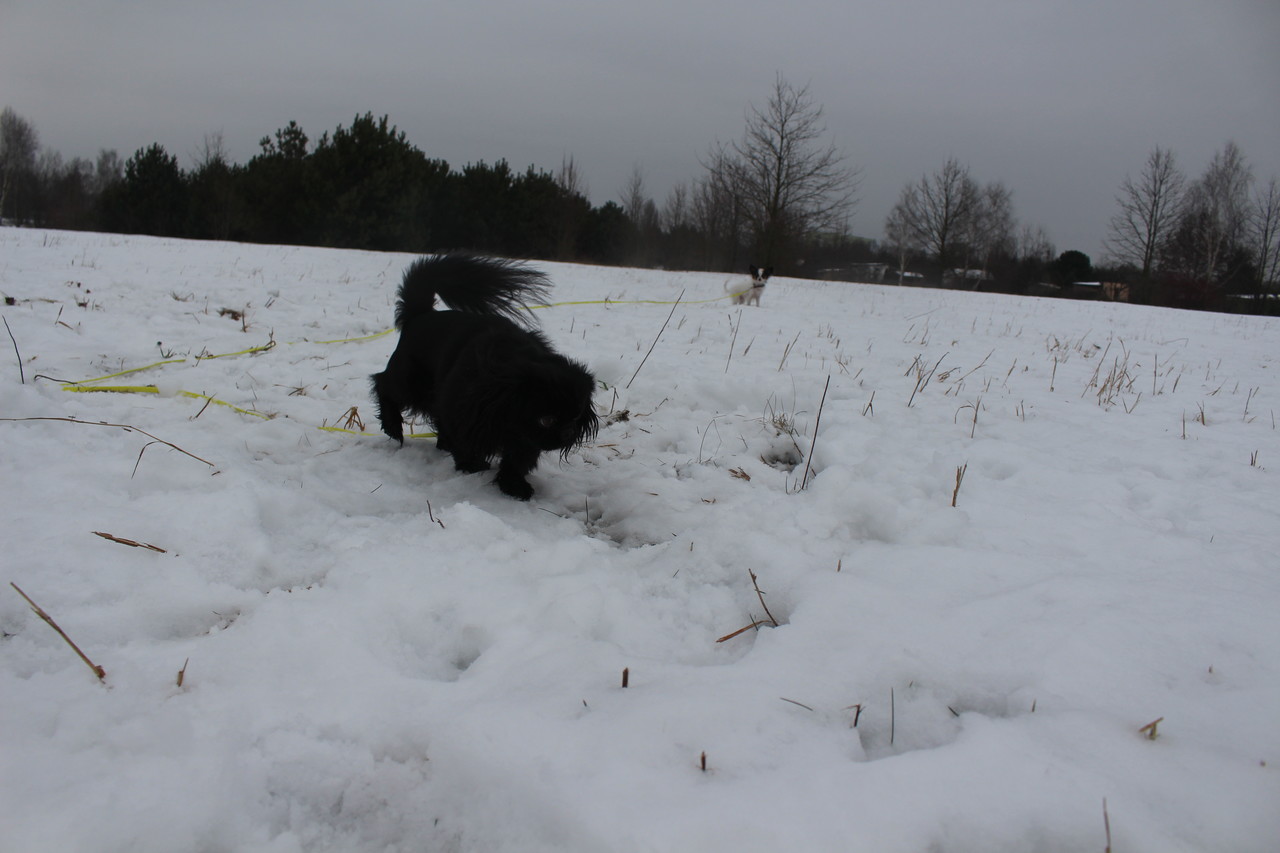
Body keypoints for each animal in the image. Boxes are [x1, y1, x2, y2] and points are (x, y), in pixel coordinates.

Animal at [371, 253, 598, 500]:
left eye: (576, 417)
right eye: (546, 420)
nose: (568, 433)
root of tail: (421, 314)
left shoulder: (526, 438)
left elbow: (518, 461)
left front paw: (513, 485)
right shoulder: (466, 413)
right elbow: (464, 444)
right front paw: (473, 467)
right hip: (411, 383)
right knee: (382, 385)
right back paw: (393, 427)